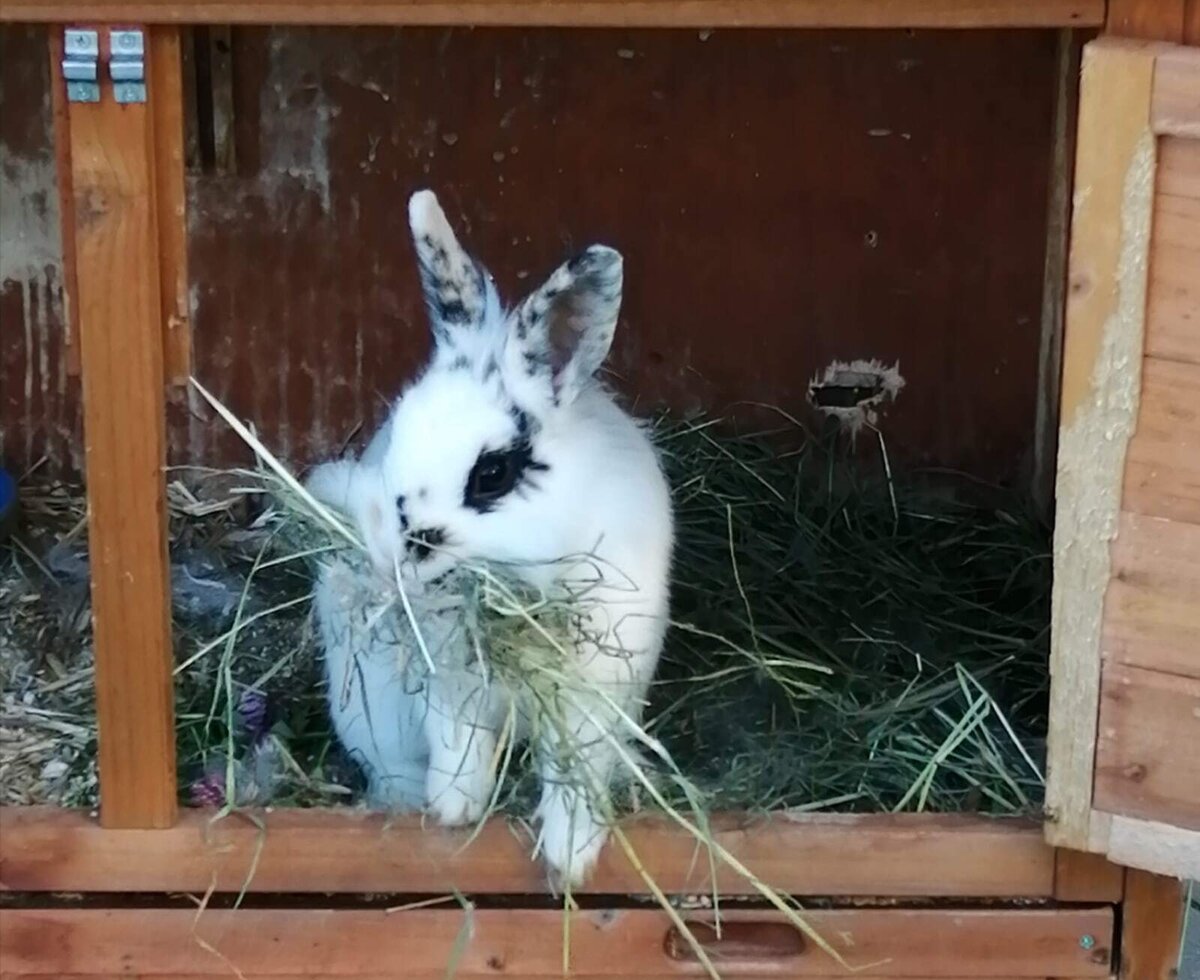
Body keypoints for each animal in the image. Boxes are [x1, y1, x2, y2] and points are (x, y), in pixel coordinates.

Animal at [310, 190, 674, 885]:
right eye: (398, 433)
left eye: (493, 473)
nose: (399, 551)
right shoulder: (449, 684)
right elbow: (459, 745)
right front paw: (453, 810)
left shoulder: (594, 691)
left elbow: (574, 768)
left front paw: (569, 855)